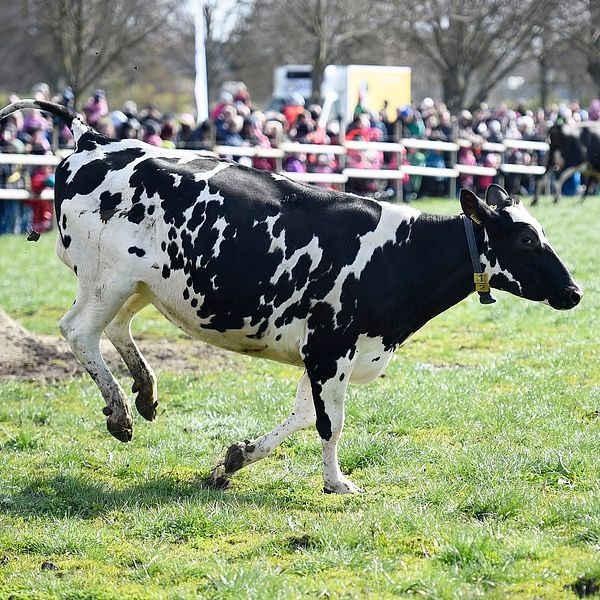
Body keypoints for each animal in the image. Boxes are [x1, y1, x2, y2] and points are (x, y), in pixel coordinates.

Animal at [0, 101, 584, 494]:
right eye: (526, 239)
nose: (575, 291)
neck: (399, 255)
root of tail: (95, 140)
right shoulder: (330, 348)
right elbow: (330, 422)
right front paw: (337, 482)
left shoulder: (325, 355)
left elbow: (305, 416)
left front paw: (234, 459)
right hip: (108, 277)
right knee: (79, 331)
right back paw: (120, 412)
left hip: (142, 283)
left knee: (115, 329)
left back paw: (144, 392)